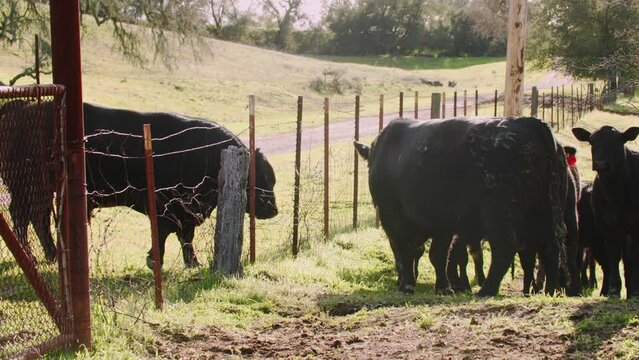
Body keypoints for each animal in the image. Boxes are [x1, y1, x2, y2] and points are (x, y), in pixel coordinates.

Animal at [84, 103, 278, 268]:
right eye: (260, 178)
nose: (273, 210)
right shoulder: (166, 208)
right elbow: (166, 233)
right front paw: (156, 260)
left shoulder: (188, 212)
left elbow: (186, 237)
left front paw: (192, 262)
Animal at [356, 116, 568, 296]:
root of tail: (529, 123)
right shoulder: (442, 224)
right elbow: (437, 255)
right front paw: (443, 287)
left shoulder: (394, 217)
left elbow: (406, 251)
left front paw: (408, 285)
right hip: (544, 213)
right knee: (551, 249)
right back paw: (551, 291)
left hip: (499, 215)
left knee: (505, 248)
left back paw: (486, 290)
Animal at [576, 126, 639, 298]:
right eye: (591, 142)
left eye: (618, 142)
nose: (601, 164)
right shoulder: (606, 226)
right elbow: (613, 257)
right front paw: (614, 291)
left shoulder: (634, 227)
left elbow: (633, 257)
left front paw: (635, 292)